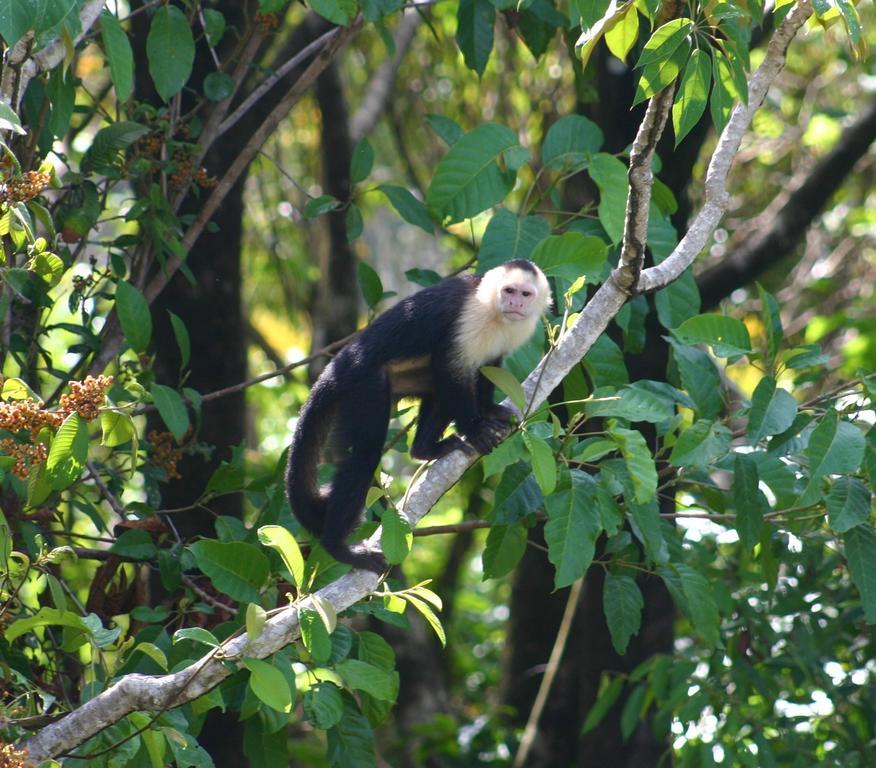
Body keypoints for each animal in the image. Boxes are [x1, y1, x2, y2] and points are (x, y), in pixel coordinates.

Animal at [284, 258, 552, 568]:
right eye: (509, 290)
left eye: (525, 294)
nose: (514, 303)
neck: (496, 314)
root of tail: (341, 361)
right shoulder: (472, 315)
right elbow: (451, 365)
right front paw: (474, 428)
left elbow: (488, 367)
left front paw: (489, 411)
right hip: (364, 384)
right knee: (364, 457)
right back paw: (338, 548)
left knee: (437, 390)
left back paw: (424, 450)